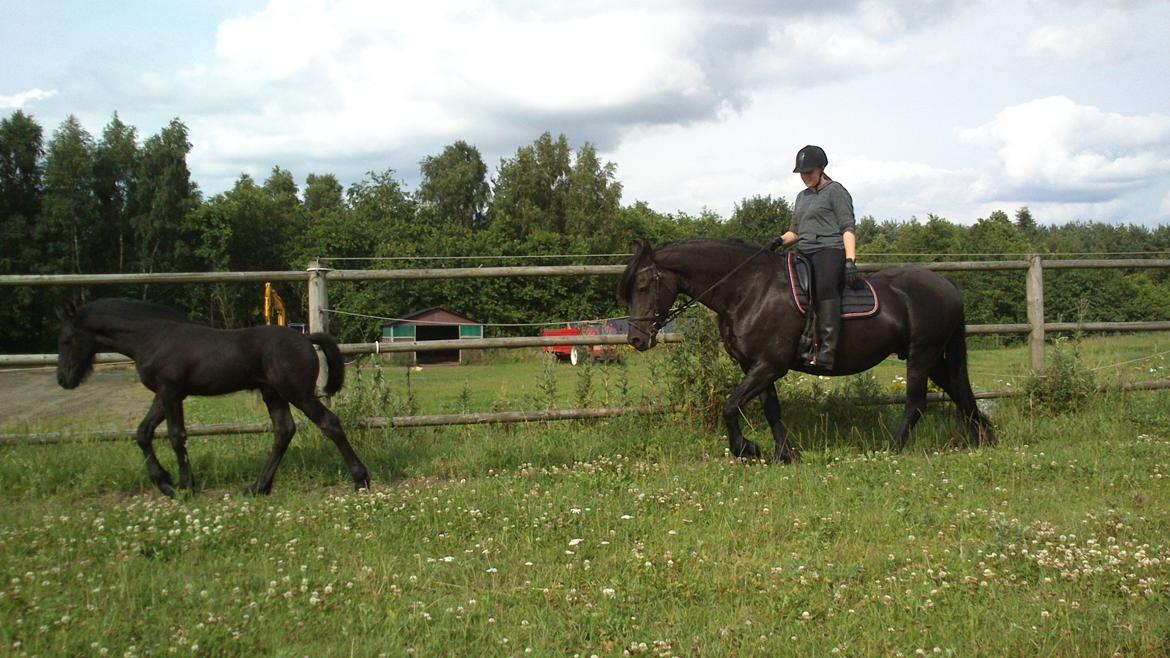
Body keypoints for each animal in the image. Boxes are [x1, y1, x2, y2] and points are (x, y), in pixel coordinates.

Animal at [55, 297, 369, 491]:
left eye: (66, 340)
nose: (64, 379)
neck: (153, 338)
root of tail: (305, 338)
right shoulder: (164, 394)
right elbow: (143, 433)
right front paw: (164, 482)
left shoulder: (170, 392)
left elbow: (176, 435)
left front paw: (183, 486)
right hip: (273, 393)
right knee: (284, 431)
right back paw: (258, 487)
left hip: (297, 392)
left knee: (329, 424)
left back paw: (361, 479)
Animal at [617, 237, 992, 458]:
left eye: (643, 286)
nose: (636, 339)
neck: (749, 290)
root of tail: (945, 283)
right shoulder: (755, 365)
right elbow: (770, 409)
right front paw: (785, 454)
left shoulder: (770, 364)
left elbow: (730, 406)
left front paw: (745, 448)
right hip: (935, 358)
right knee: (961, 393)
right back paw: (986, 439)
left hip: (921, 355)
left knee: (916, 403)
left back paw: (893, 449)